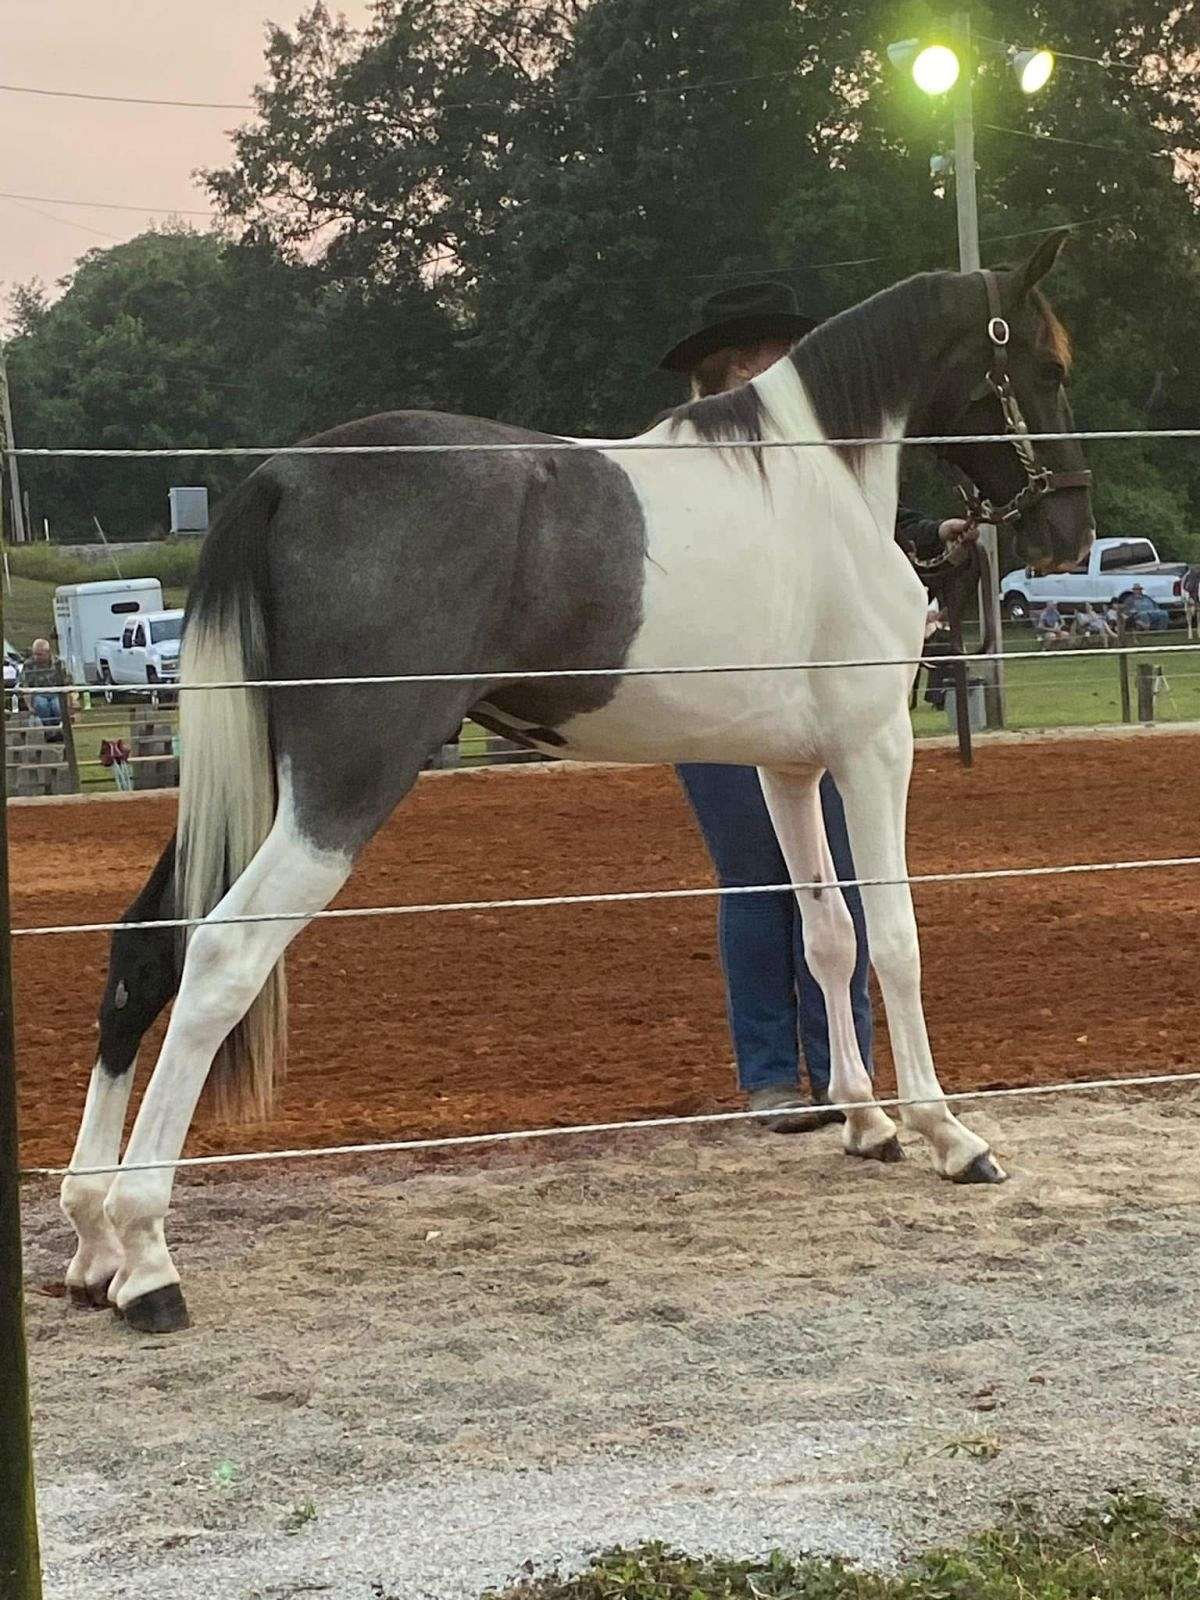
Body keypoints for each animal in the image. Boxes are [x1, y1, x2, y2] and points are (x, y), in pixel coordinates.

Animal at [61, 229, 1093, 1334]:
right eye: (1047, 367)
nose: (1069, 532)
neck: (817, 482)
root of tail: (282, 480)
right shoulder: (873, 749)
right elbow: (895, 940)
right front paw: (951, 1136)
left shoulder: (788, 768)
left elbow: (828, 936)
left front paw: (864, 1121)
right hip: (340, 788)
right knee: (219, 957)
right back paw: (148, 1258)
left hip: (257, 782)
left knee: (144, 947)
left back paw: (90, 1240)